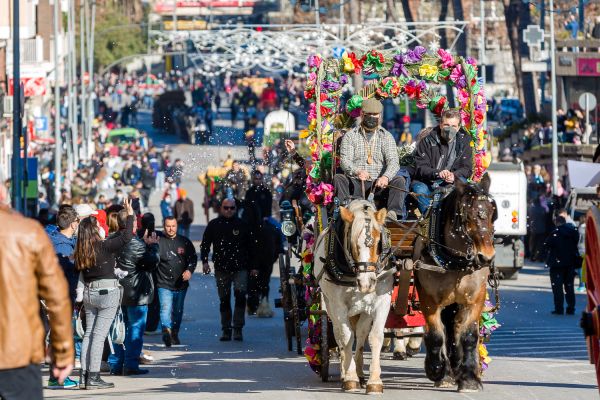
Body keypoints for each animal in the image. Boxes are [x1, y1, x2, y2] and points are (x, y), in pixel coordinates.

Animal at [314, 200, 394, 394]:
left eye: (378, 242)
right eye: (353, 243)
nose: (367, 283)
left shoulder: (382, 301)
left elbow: (375, 337)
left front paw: (374, 381)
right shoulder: (338, 305)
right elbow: (346, 336)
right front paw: (350, 378)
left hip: (363, 310)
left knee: (361, 333)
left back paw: (360, 372)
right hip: (329, 305)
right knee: (339, 333)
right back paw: (346, 373)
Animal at [418, 173, 496, 392]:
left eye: (492, 213)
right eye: (466, 215)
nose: (486, 257)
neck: (455, 262)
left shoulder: (475, 299)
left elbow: (468, 336)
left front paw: (469, 378)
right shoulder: (428, 299)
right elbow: (435, 335)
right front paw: (437, 370)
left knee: (453, 331)